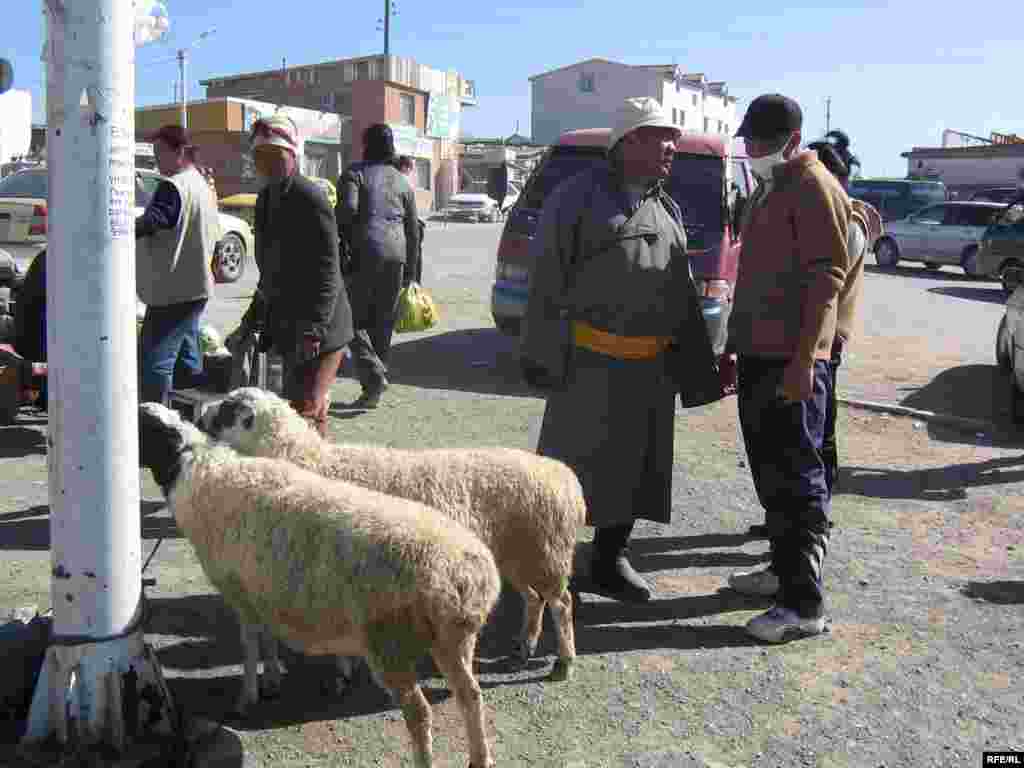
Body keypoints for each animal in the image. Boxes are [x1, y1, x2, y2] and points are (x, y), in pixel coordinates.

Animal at [139, 403, 499, 768]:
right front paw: (272, 678)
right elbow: (267, 636)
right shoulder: (261, 586)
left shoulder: (237, 589)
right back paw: (480, 757)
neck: (194, 468)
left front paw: (248, 696)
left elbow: (249, 644)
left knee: (420, 713)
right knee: (471, 695)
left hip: (390, 645)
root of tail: (467, 574)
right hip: (453, 641)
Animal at [201, 387, 585, 684]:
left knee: (562, 604)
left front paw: (343, 669)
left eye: (228, 409)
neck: (309, 460)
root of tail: (564, 477)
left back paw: (563, 662)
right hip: (518, 553)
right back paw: (525, 645)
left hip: (546, 551)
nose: (200, 411)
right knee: (534, 598)